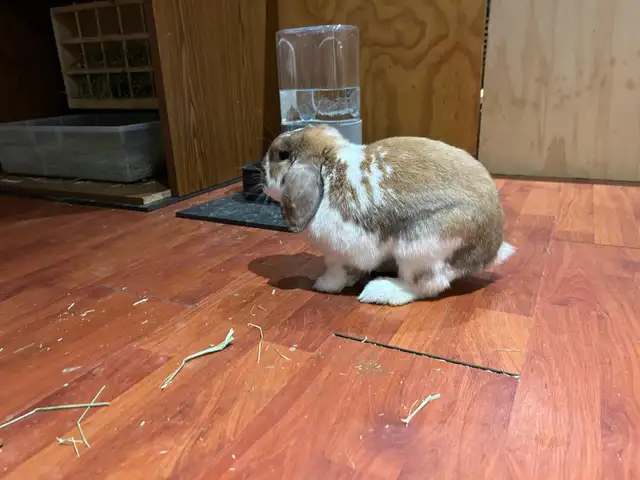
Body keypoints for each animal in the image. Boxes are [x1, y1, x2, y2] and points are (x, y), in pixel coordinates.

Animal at [261, 124, 515, 306]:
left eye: (282, 154)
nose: (262, 180)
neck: (328, 166)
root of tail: (491, 247)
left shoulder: (339, 252)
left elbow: (337, 270)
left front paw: (324, 285)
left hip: (420, 248)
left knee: (427, 285)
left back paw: (381, 291)